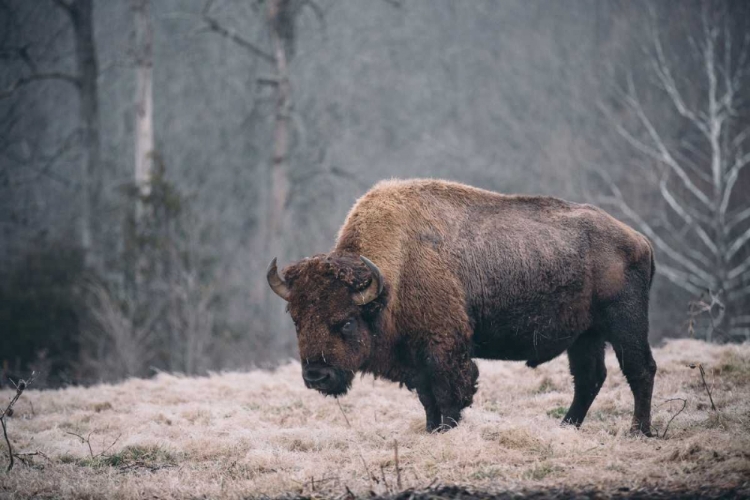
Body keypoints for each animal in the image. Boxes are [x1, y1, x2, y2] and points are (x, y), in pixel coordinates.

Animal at [268, 179, 656, 434]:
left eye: (347, 321)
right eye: (297, 320)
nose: (316, 375)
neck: (395, 274)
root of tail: (639, 240)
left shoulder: (444, 349)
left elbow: (449, 396)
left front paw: (447, 433)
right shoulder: (417, 360)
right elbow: (428, 401)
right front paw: (431, 431)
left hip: (625, 323)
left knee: (640, 370)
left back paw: (638, 431)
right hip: (585, 335)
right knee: (589, 378)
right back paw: (566, 426)